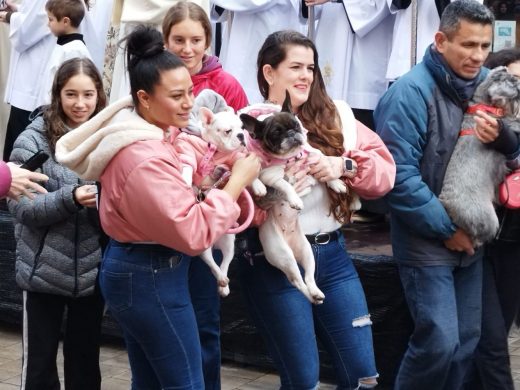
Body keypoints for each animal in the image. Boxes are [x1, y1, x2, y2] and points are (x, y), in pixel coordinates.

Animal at [440, 65, 520, 245]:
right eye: (513, 82)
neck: (484, 104)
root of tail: (446, 204)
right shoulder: (505, 121)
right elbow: (514, 123)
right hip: (487, 219)